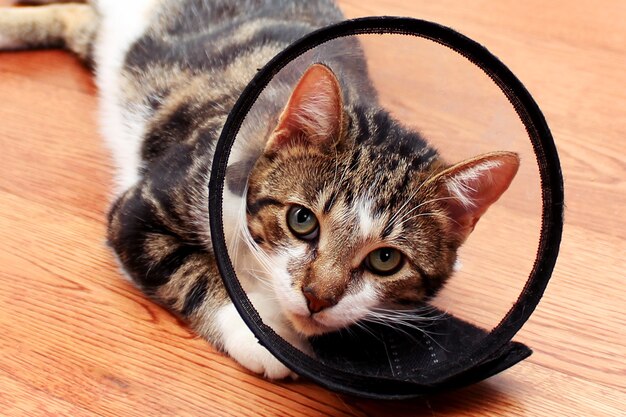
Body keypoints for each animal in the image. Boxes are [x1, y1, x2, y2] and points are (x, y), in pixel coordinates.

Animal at [0, 0, 516, 378]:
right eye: (302, 220)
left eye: (386, 259)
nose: (318, 298)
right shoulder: (144, 206)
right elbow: (182, 268)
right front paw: (261, 337)